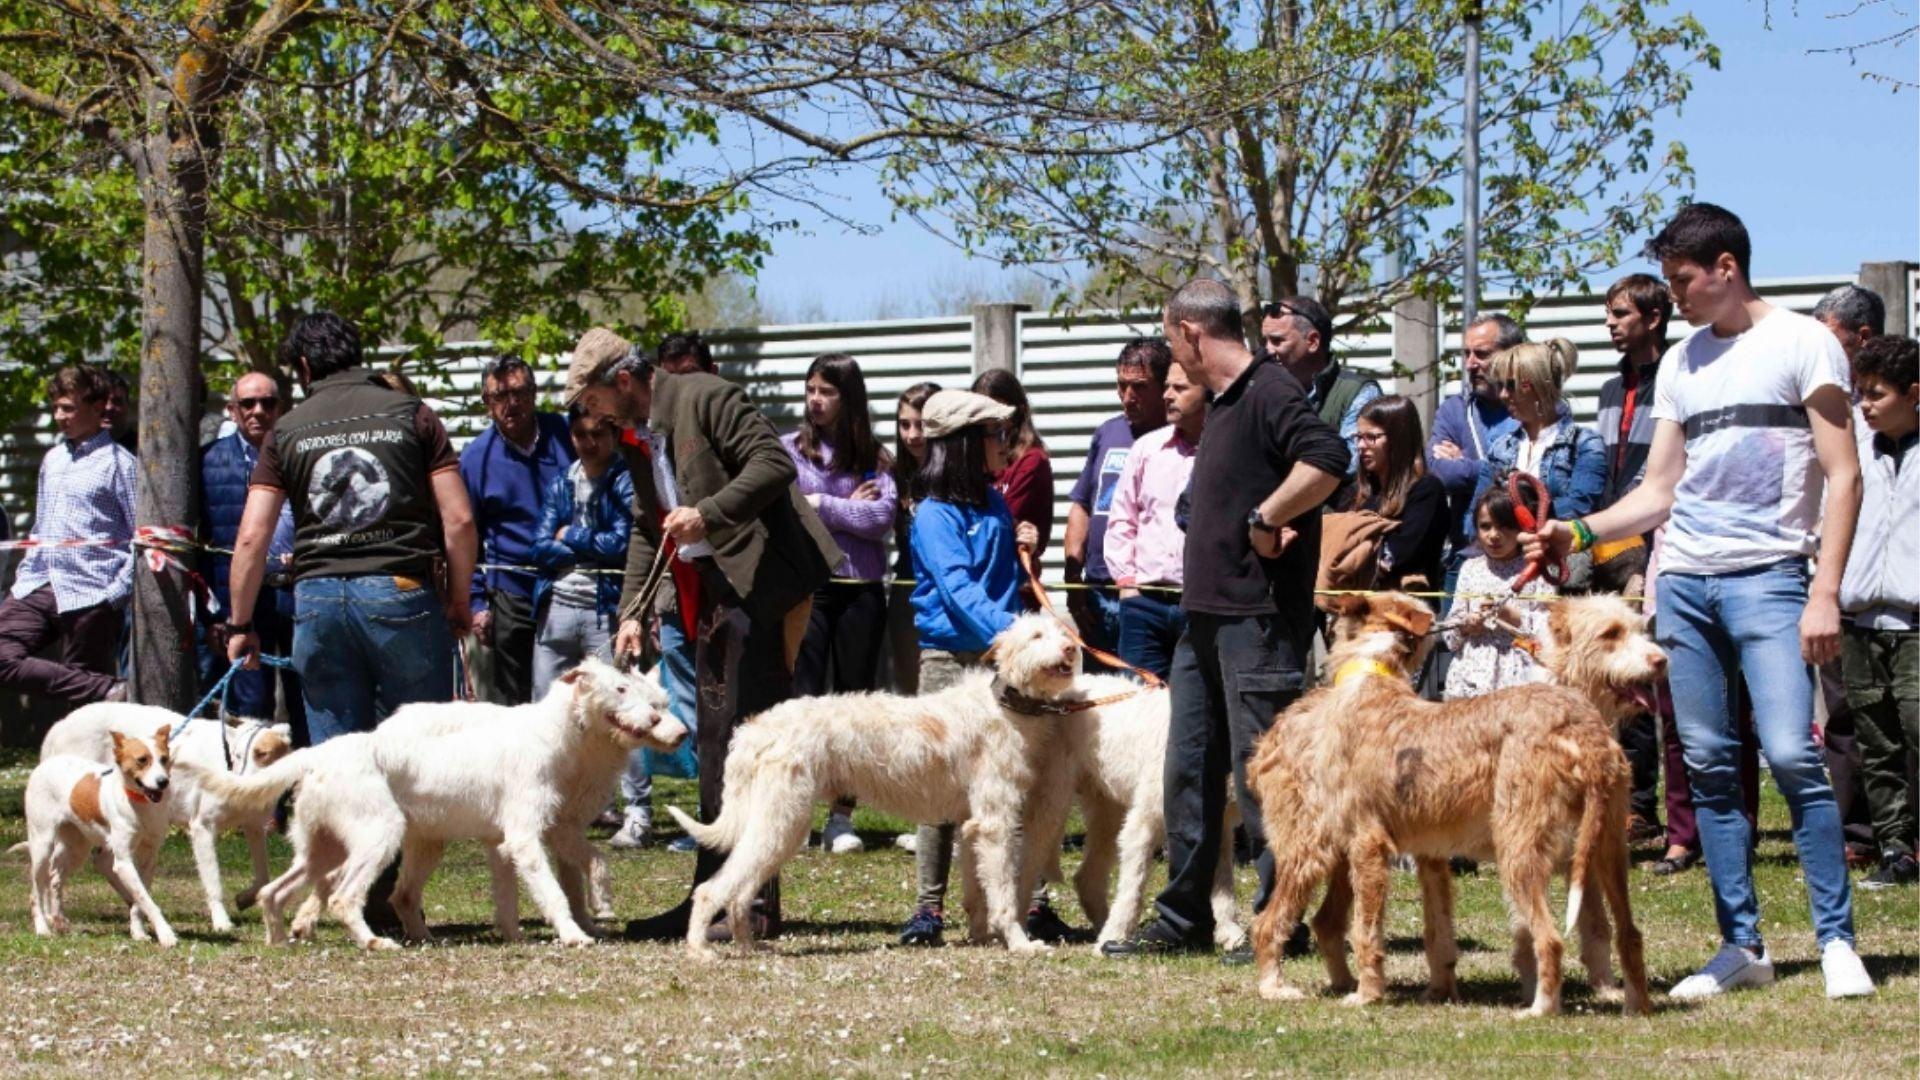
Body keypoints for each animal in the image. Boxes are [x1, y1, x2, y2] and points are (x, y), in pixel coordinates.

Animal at [22, 727, 179, 946]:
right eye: (142, 760)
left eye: (164, 759)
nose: (163, 782)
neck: (138, 803)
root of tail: (43, 766)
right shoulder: (123, 862)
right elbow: (146, 900)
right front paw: (166, 934)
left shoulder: (149, 858)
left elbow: (141, 899)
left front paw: (138, 932)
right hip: (41, 845)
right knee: (35, 892)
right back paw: (42, 928)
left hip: (76, 848)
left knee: (55, 878)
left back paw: (59, 920)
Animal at [40, 704, 292, 932]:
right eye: (237, 755)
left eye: (262, 754)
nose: (240, 786)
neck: (226, 762)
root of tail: (59, 725)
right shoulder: (202, 826)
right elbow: (213, 880)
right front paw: (221, 921)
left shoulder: (254, 826)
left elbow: (263, 876)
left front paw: (246, 898)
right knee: (59, 868)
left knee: (101, 862)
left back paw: (132, 902)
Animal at [181, 658, 684, 949]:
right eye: (620, 690)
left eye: (656, 699)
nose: (673, 730)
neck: (554, 736)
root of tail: (319, 753)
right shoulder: (526, 839)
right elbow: (556, 893)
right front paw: (575, 934)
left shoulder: (516, 840)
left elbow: (527, 892)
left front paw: (526, 933)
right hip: (378, 837)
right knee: (342, 896)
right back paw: (373, 943)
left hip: (327, 848)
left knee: (277, 891)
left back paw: (283, 940)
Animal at [670, 613, 1091, 960]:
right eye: (1036, 635)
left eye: (1064, 632)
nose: (1071, 648)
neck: (1004, 704)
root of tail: (757, 727)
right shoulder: (996, 823)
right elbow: (1003, 893)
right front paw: (1019, 942)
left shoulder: (972, 826)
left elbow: (977, 892)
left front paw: (982, 938)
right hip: (782, 821)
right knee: (711, 889)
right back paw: (699, 949)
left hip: (779, 827)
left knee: (739, 892)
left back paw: (747, 946)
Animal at [1247, 591, 1656, 1017]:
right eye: (1611, 633)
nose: (1659, 661)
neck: (1371, 677)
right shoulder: (1427, 854)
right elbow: (1438, 932)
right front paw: (1436, 991)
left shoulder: (1369, 844)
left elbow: (1368, 932)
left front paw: (1369, 994)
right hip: (1607, 849)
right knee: (1629, 933)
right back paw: (1634, 1007)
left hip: (1514, 851)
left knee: (1552, 938)